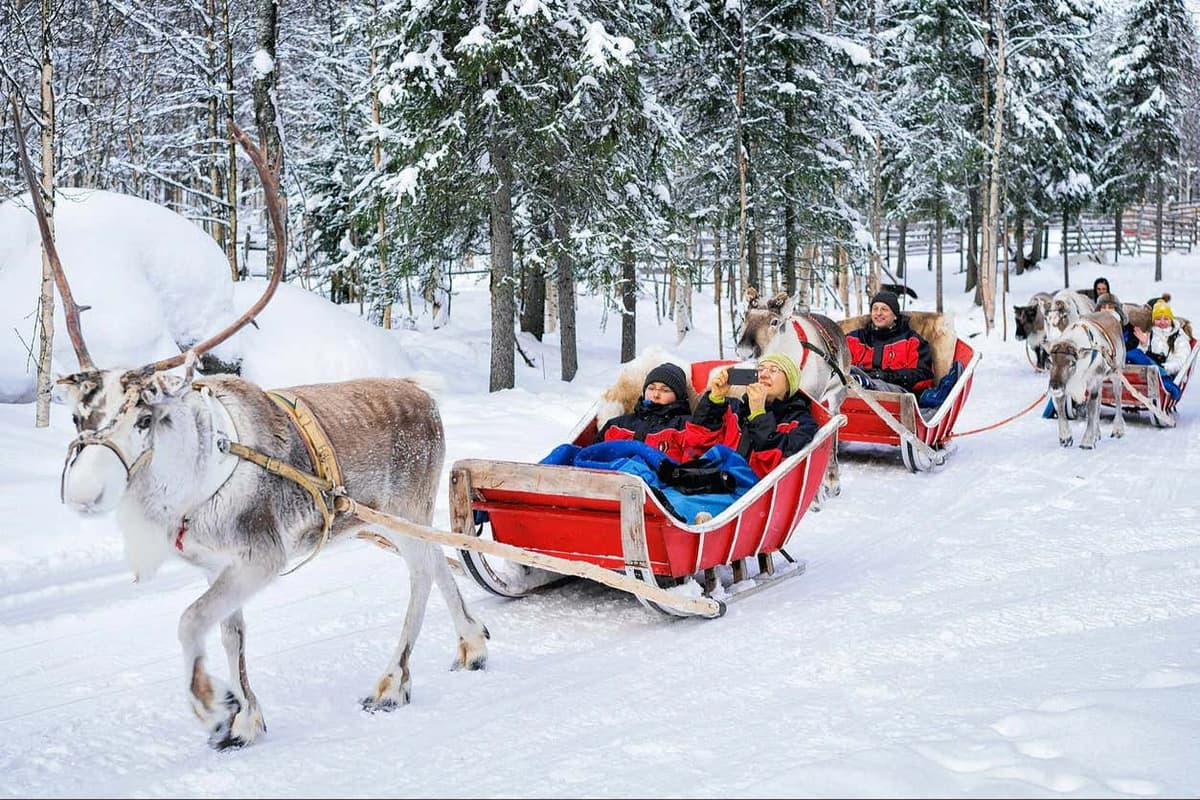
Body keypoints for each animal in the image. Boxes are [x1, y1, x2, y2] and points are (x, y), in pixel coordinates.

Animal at [10, 100, 488, 750]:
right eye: (79, 414)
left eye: (145, 417)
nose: (83, 493)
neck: (188, 484)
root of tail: (422, 393)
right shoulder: (220, 565)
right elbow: (231, 633)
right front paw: (244, 717)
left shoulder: (260, 558)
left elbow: (189, 619)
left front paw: (212, 704)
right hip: (382, 522)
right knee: (440, 560)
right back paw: (473, 642)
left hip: (405, 509)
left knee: (420, 573)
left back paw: (393, 682)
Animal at [734, 289, 850, 501]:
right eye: (745, 317)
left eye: (774, 321)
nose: (745, 351)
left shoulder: (815, 398)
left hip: (838, 394)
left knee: (835, 428)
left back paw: (832, 480)